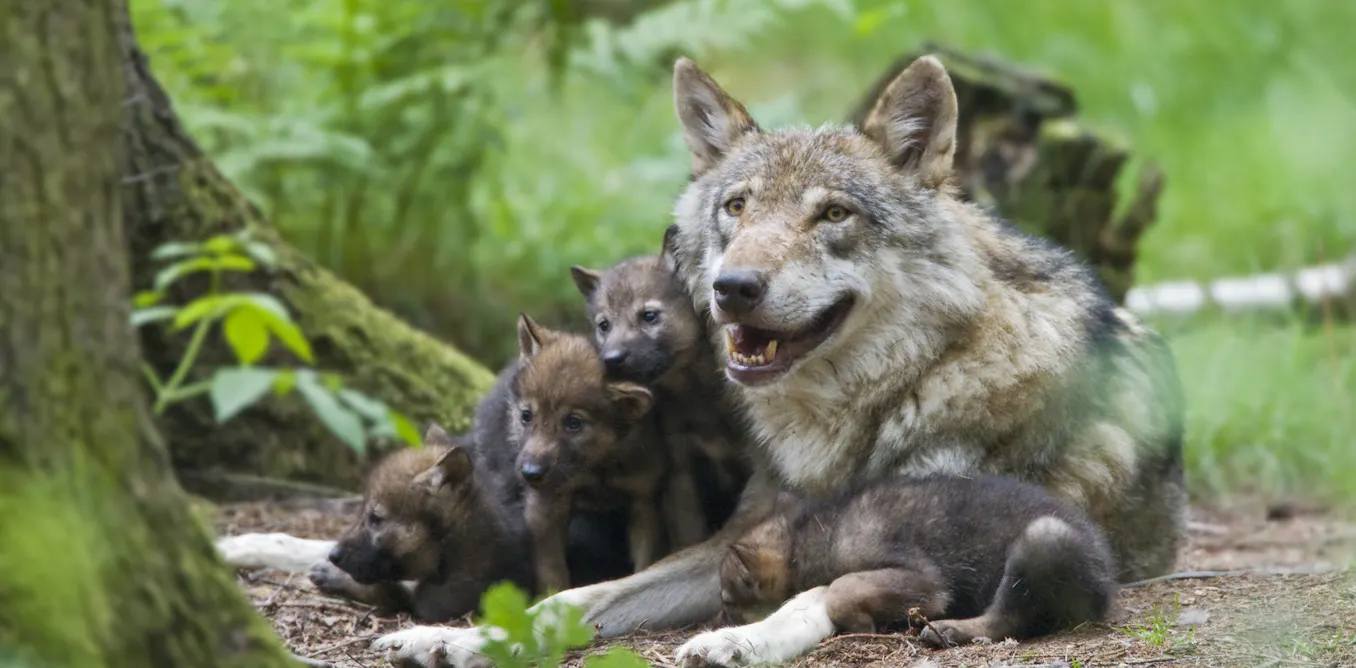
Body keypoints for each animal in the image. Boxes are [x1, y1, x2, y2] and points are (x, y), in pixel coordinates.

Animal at [512, 313, 709, 593]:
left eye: (574, 423)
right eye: (526, 416)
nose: (531, 473)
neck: (598, 466)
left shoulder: (644, 501)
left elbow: (645, 561)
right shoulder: (547, 506)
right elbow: (552, 573)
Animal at [570, 245, 751, 536]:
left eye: (649, 316)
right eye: (604, 325)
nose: (611, 359)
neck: (695, 392)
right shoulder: (680, 470)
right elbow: (689, 533)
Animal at [718, 474, 1116, 649]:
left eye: (727, 601)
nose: (718, 621)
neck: (815, 533)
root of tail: (1105, 588)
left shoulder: (925, 580)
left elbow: (841, 588)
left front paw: (860, 622)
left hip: (1043, 537)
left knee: (1008, 618)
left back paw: (949, 630)